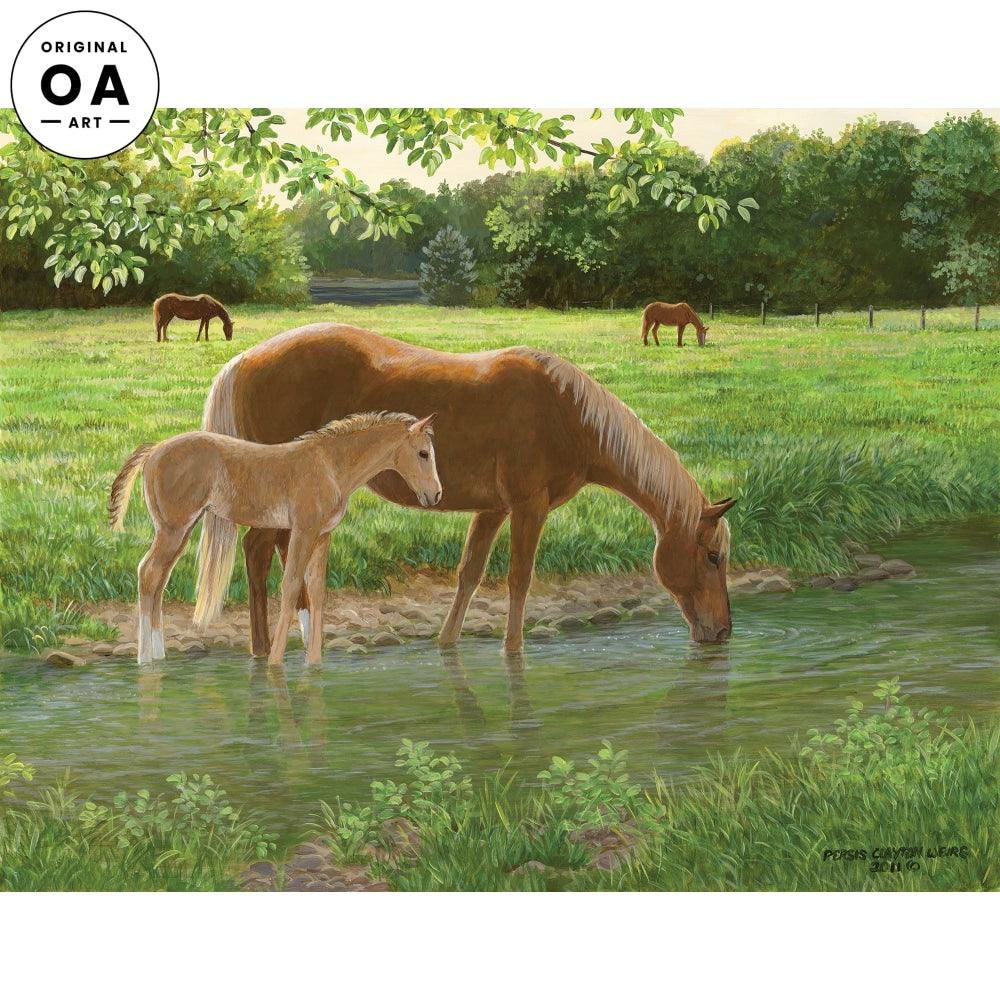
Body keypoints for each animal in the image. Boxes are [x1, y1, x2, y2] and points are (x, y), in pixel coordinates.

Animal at [108, 410, 440, 667]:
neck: (330, 465)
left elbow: (316, 591)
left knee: (159, 578)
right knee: (149, 573)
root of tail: (154, 450)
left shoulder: (322, 537)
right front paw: (275, 663)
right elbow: (291, 586)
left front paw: (314, 664)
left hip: (182, 530)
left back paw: (158, 655)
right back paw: (145, 660)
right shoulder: (303, 531)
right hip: (173, 529)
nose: (435, 495)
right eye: (423, 453)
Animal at [193, 324, 737, 656]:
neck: (565, 411)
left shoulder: (494, 509)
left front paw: (447, 644)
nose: (723, 633)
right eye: (713, 557)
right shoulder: (529, 507)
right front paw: (513, 651)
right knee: (257, 553)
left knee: (280, 556)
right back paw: (262, 650)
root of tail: (243, 360)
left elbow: (470, 574)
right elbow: (519, 578)